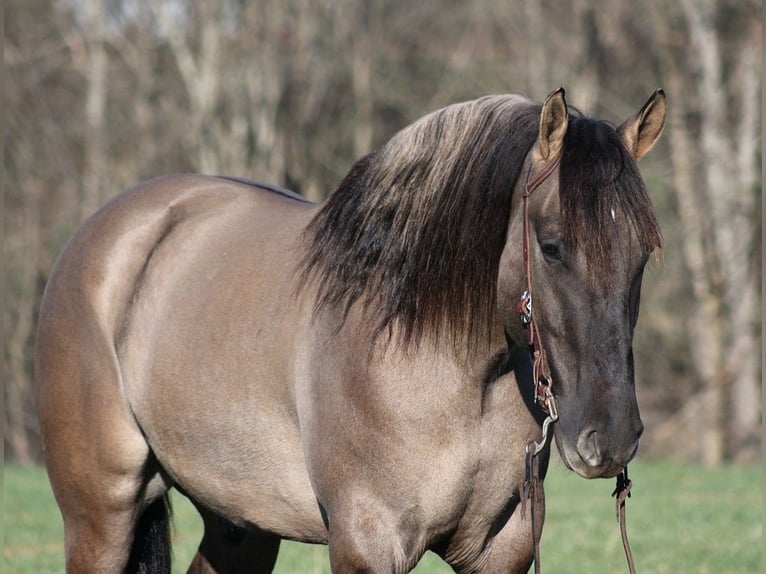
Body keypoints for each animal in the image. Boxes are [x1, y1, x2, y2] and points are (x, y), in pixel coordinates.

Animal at [34, 88, 664, 572]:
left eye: (644, 256)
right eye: (552, 246)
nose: (610, 440)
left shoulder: (501, 549)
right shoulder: (367, 544)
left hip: (239, 524)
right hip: (101, 515)